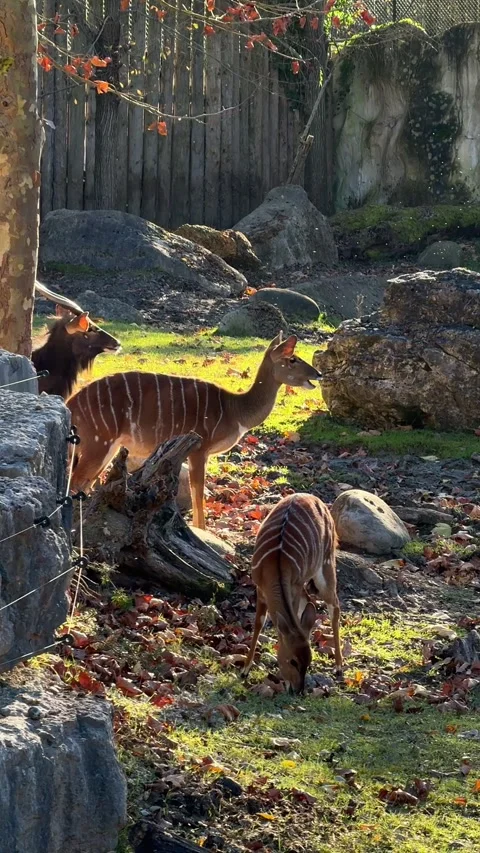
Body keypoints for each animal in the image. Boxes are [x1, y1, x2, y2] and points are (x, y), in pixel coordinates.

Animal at [67, 333, 321, 528]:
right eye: (292, 359)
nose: (317, 374)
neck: (235, 410)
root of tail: (71, 404)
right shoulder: (200, 449)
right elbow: (198, 492)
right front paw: (202, 530)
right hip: (98, 444)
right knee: (76, 481)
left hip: (106, 448)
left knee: (84, 482)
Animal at [243, 493, 342, 693]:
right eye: (293, 661)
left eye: (309, 661)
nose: (298, 690)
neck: (275, 565)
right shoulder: (260, 587)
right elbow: (259, 623)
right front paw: (245, 669)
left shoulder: (293, 587)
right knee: (313, 601)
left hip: (326, 564)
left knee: (334, 605)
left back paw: (338, 667)